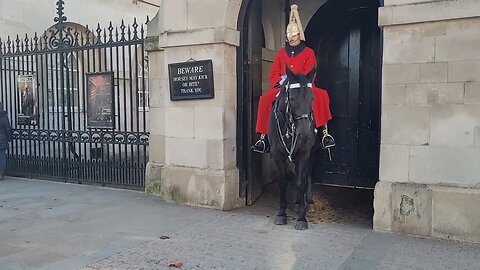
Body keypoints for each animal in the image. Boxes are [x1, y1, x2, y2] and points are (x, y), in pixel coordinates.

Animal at [270, 66, 318, 229]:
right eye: (291, 98)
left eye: (312, 98)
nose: (304, 134)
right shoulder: (277, 154)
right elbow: (283, 182)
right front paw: (281, 214)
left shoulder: (304, 153)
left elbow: (300, 182)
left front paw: (302, 218)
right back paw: (297, 202)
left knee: (307, 175)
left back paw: (307, 202)